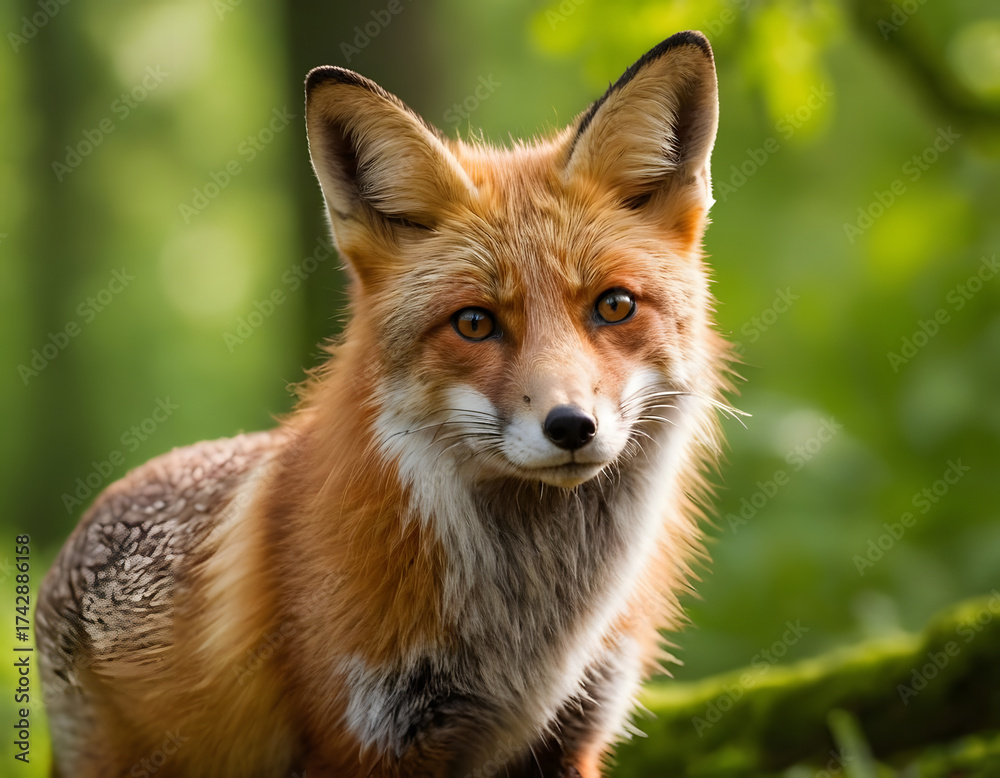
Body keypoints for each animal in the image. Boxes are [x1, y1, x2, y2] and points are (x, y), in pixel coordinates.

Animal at [37, 30, 732, 778]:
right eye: (474, 323)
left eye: (615, 306)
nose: (572, 426)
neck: (529, 637)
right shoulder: (368, 738)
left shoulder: (574, 732)